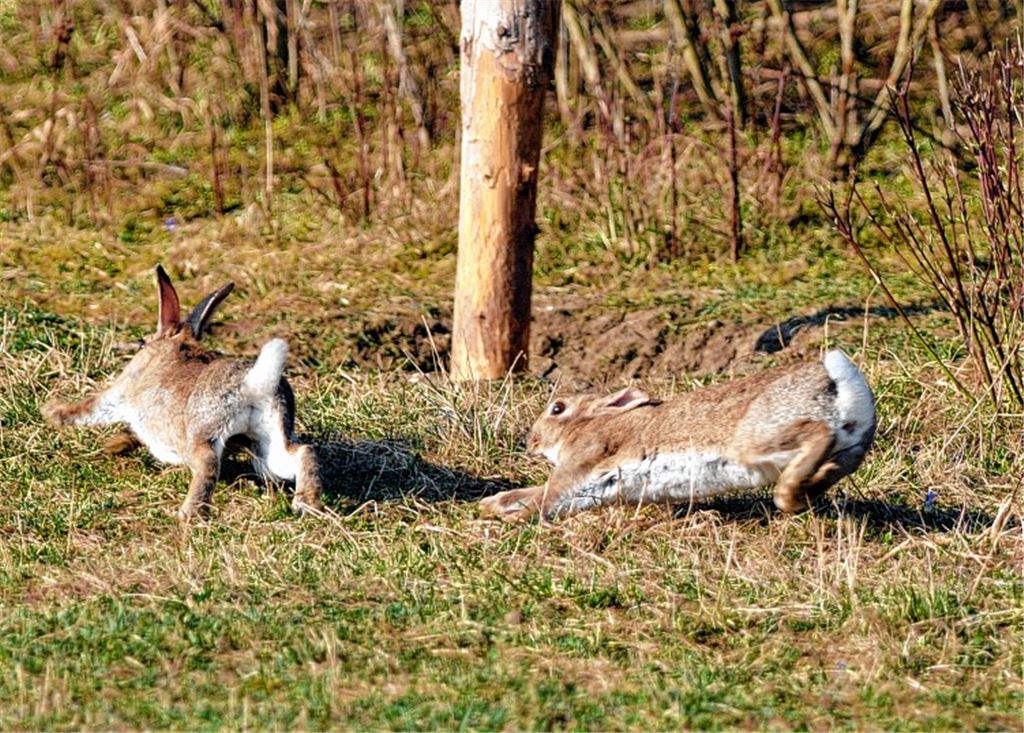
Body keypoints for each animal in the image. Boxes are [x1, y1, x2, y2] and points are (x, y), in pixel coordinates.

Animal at [42, 265, 323, 520]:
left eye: (142, 343)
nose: (141, 344)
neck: (177, 340)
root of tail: (252, 384)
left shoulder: (120, 392)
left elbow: (86, 409)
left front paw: (51, 412)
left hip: (204, 433)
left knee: (207, 465)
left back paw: (189, 514)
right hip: (267, 442)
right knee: (302, 452)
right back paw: (307, 504)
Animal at [480, 349, 875, 520]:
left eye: (558, 408)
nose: (531, 441)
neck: (592, 423)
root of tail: (837, 380)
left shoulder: (583, 460)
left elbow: (546, 496)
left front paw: (508, 517)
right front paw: (493, 504)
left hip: (760, 438)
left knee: (818, 433)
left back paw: (788, 495)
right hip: (847, 441)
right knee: (846, 458)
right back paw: (811, 487)